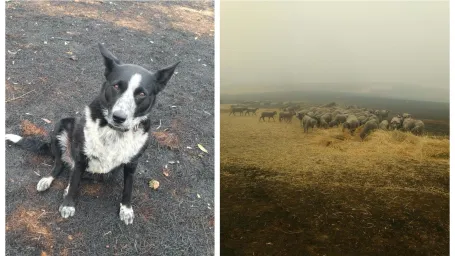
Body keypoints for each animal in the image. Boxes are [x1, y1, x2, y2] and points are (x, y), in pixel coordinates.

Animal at [5, 43, 180, 224]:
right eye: (116, 86)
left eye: (141, 94)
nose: (119, 117)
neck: (114, 132)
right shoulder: (81, 157)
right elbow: (75, 181)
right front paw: (68, 205)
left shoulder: (132, 164)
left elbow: (128, 188)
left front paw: (126, 209)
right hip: (62, 126)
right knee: (60, 165)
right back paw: (48, 180)